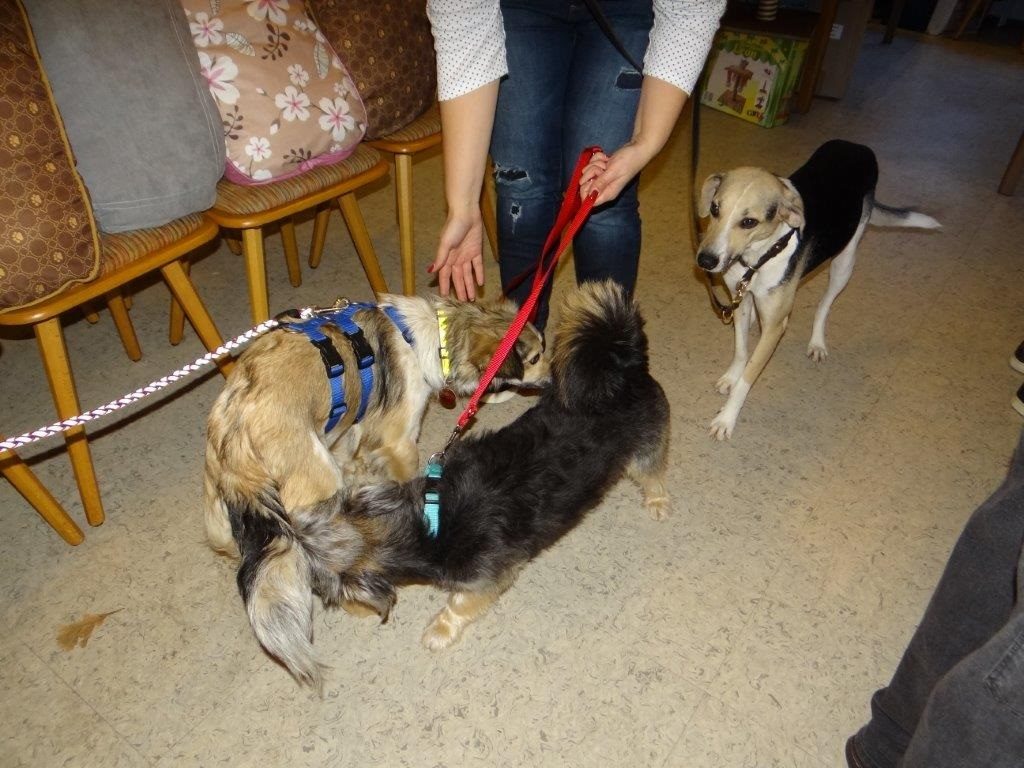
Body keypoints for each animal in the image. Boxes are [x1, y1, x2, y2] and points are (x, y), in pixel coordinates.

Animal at [204, 292, 549, 560]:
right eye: (534, 358)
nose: (550, 380)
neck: (436, 339)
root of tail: (231, 421)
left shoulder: (355, 420)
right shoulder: (399, 440)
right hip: (316, 475)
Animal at [695, 139, 941, 439]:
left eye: (749, 222)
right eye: (715, 208)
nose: (705, 260)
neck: (760, 256)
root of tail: (858, 147)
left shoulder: (775, 327)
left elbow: (748, 376)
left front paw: (727, 418)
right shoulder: (740, 300)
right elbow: (741, 351)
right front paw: (731, 377)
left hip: (845, 261)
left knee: (824, 306)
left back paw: (817, 342)